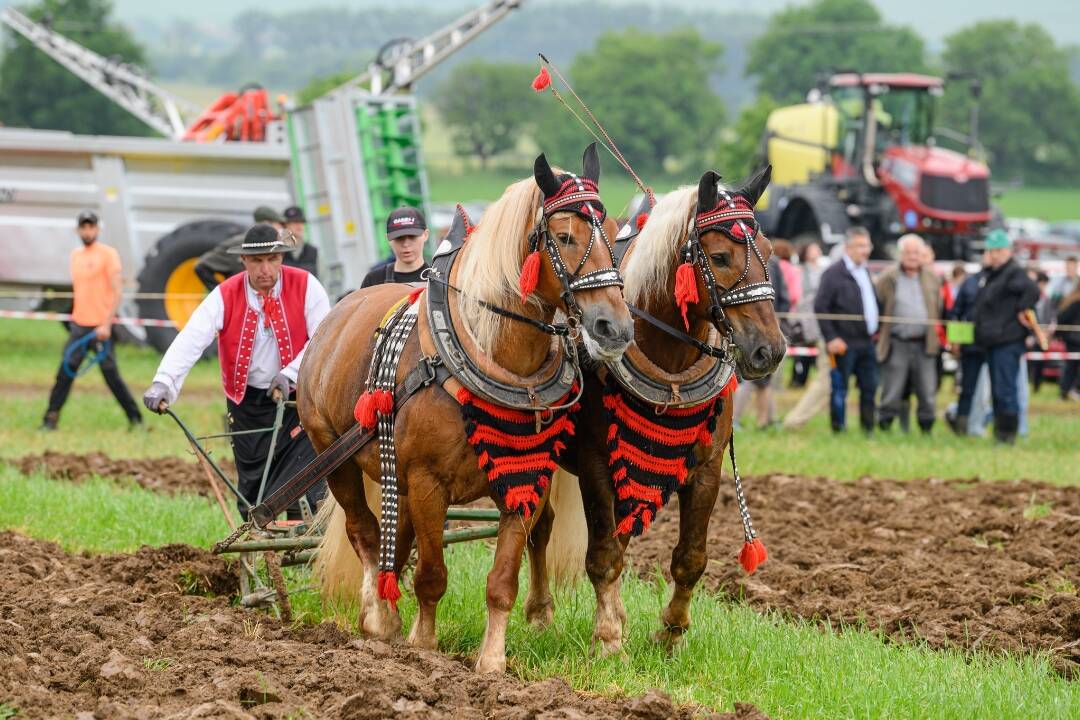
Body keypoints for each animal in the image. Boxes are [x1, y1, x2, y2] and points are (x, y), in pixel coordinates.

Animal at [298, 147, 630, 677]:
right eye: (564, 237)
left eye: (614, 232)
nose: (614, 327)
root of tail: (338, 313)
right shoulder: (427, 481)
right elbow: (431, 574)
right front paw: (423, 646)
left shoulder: (523, 481)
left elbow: (502, 581)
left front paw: (491, 659)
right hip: (334, 454)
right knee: (365, 533)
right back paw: (378, 618)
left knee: (396, 539)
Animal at [540, 167, 786, 651]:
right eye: (721, 256)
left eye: (768, 252)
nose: (771, 350)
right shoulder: (596, 465)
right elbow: (603, 555)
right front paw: (608, 639)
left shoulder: (706, 469)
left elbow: (690, 557)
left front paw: (671, 633)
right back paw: (541, 613)